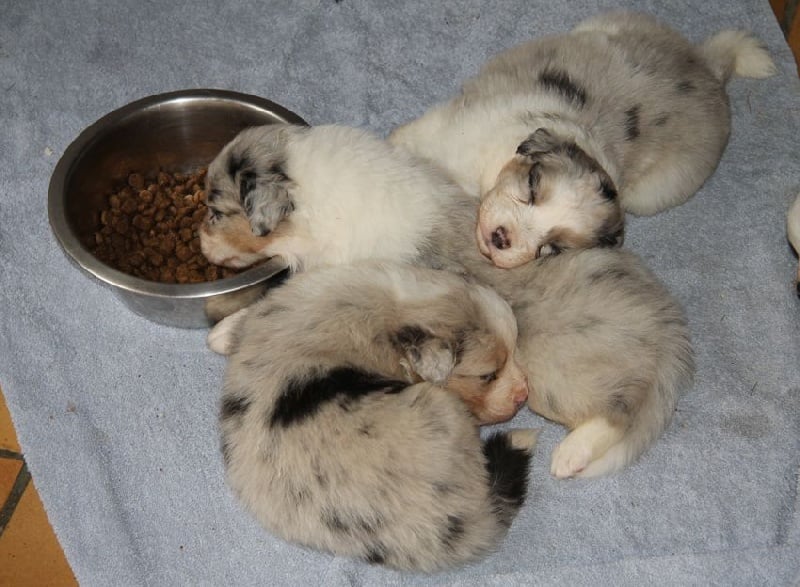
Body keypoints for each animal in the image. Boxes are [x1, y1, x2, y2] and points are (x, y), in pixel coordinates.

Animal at [200, 121, 694, 479]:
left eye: (217, 211)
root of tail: (670, 329)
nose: (202, 244)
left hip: (558, 373)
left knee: (617, 412)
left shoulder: (340, 273)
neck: (312, 200)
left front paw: (224, 332)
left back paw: (570, 455)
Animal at [209, 260, 536, 572]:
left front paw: (220, 335)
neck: (388, 311)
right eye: (488, 375)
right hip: (444, 410)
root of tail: (475, 519)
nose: (523, 395)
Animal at [389, 10, 776, 268]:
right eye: (532, 186)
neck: (490, 172)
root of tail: (710, 69)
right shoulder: (444, 132)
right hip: (602, 25)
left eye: (553, 247)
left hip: (650, 195)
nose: (501, 238)